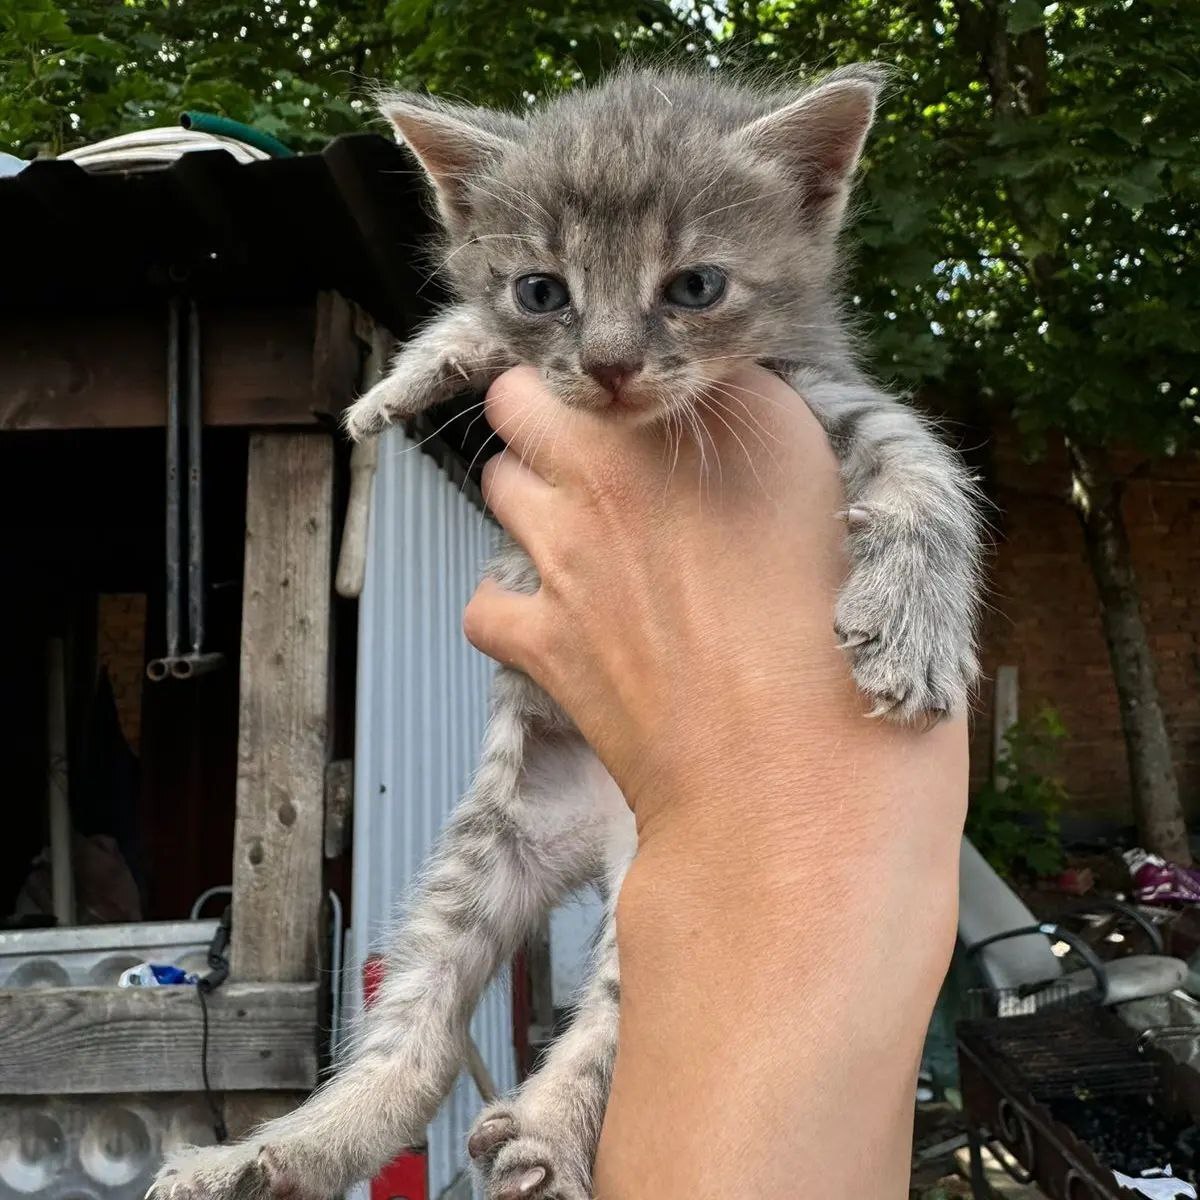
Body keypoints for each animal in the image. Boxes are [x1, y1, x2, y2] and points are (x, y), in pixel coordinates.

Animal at [150, 63, 979, 1200]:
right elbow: (473, 335)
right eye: (542, 292)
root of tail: (587, 835)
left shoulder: (833, 394)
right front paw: (409, 375)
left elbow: (924, 475)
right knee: (415, 1037)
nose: (612, 366)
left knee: (609, 1024)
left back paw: (542, 1128)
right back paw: (277, 1151)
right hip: (480, 852)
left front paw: (914, 622)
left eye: (695, 287)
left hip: (658, 895)